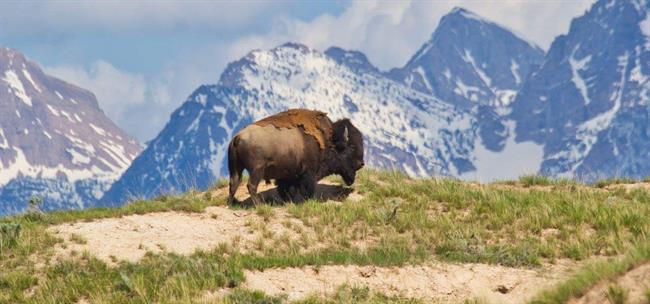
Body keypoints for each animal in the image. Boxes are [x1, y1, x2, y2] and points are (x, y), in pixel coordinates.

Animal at [225, 108, 362, 205]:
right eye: (351, 147)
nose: (361, 164)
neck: (328, 139)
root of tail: (237, 137)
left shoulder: (288, 175)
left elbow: (286, 189)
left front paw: (288, 201)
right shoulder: (308, 173)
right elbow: (306, 188)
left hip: (236, 169)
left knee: (234, 183)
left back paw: (232, 203)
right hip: (257, 170)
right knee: (251, 185)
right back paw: (259, 204)